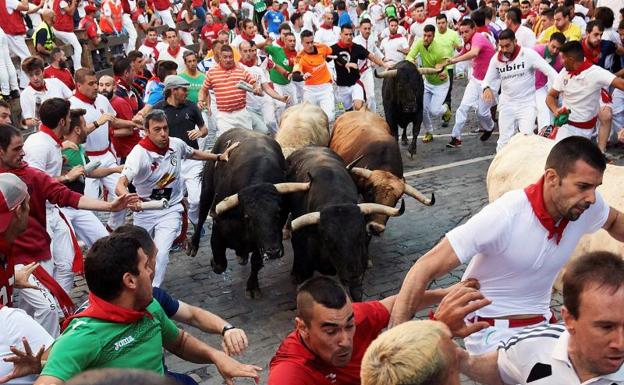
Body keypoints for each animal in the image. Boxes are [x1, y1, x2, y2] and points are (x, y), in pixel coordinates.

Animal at [186, 127, 310, 298]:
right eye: (248, 217)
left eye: (278, 213)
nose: (273, 252)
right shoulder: (218, 228)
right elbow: (219, 264)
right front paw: (214, 262)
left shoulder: (261, 243)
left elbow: (256, 261)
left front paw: (252, 287)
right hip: (207, 188)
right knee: (202, 213)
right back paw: (193, 245)